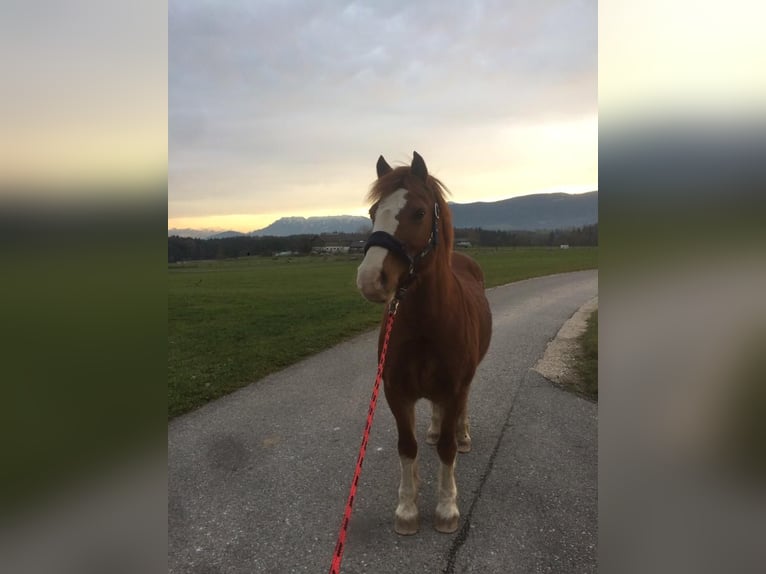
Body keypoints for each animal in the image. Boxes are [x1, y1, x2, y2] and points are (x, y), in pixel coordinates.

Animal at [358, 152, 496, 536]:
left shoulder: (453, 387)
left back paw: (462, 435)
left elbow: (447, 450)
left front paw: (447, 507)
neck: (425, 324)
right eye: (373, 211)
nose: (370, 279)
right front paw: (407, 508)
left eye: (419, 213)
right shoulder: (395, 391)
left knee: (460, 412)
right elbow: (407, 447)